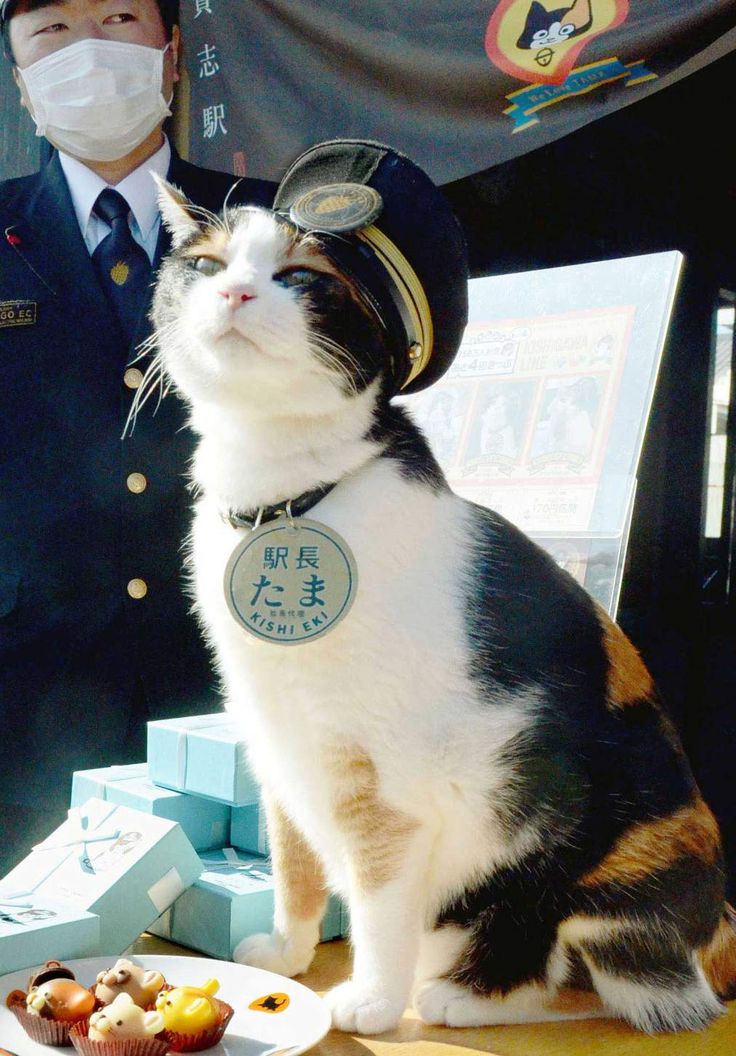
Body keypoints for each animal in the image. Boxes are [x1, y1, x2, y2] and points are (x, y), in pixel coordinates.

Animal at [143, 160, 734, 1034]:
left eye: (301, 276)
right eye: (208, 264)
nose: (237, 293)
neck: (281, 499)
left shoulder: (385, 782)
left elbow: (378, 900)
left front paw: (370, 1000)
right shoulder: (278, 744)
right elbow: (294, 866)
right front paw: (284, 955)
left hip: (619, 841)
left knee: (610, 980)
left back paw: (456, 995)